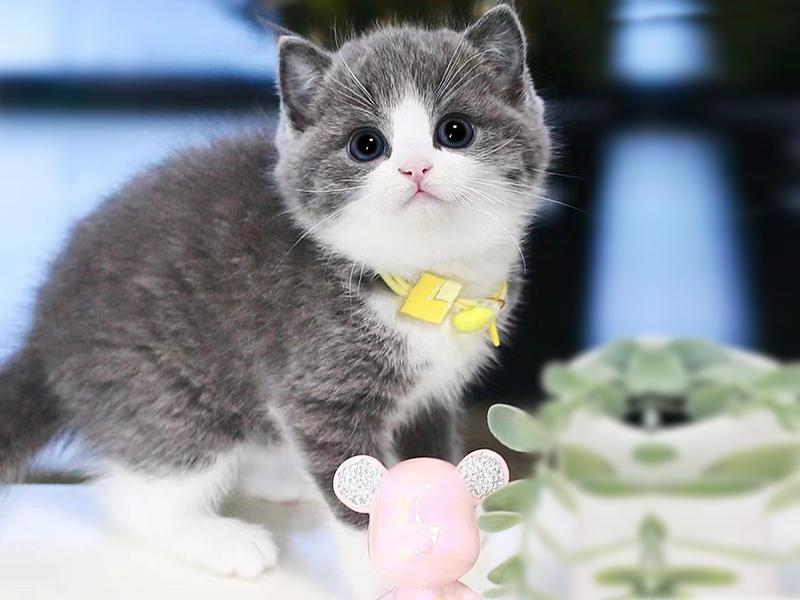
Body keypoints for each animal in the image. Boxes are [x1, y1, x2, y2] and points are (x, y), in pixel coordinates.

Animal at [0, 4, 549, 597]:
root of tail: (43, 331)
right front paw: (385, 575)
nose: (415, 167)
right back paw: (221, 540)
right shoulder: (319, 387)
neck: (423, 281)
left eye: (455, 131)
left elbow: (430, 460)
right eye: (366, 145)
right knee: (144, 492)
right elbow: (356, 489)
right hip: (156, 383)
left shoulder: (433, 395)